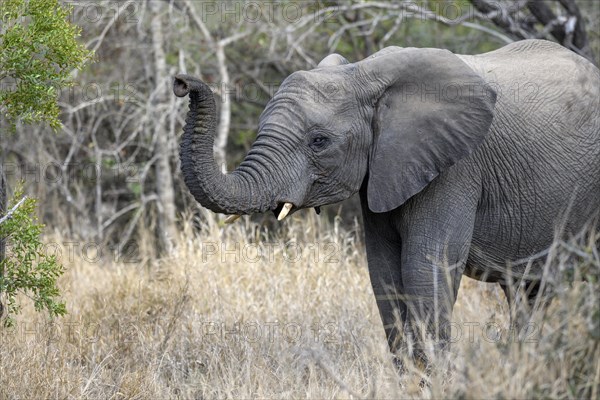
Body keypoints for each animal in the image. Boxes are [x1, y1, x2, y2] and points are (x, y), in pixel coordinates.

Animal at [173, 39, 600, 364]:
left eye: (319, 141)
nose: (181, 82)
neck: (363, 75)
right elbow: (384, 273)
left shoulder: (456, 168)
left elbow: (423, 269)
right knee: (529, 291)